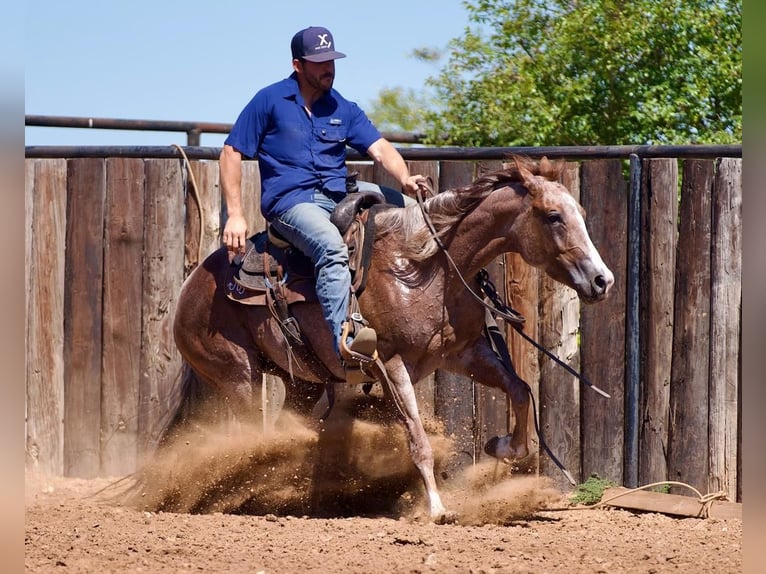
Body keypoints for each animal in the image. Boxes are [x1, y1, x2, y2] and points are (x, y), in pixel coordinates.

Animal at [171, 156, 616, 520]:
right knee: (244, 435)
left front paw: (503, 447)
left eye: (581, 212)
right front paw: (436, 508)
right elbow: (417, 437)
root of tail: (191, 284)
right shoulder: (390, 362)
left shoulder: (465, 355)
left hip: (301, 384)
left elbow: (521, 390)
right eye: (553, 216)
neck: (426, 267)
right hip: (238, 376)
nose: (603, 280)